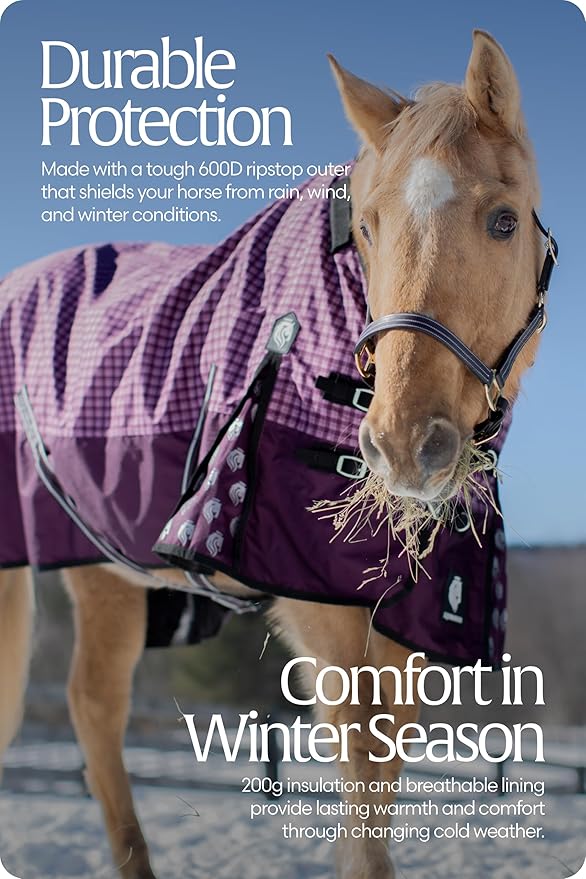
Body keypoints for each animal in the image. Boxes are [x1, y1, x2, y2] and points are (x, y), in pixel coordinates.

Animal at [0, 30, 556, 879]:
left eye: (502, 221)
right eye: (369, 226)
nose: (403, 445)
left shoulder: (406, 623)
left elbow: (382, 777)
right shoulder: (323, 614)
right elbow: (360, 788)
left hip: (106, 572)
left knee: (93, 706)